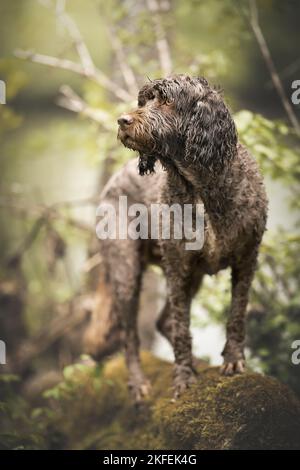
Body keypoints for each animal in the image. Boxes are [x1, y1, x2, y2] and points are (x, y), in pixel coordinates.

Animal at [91, 75, 268, 402]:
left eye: (166, 100)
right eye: (144, 100)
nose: (122, 120)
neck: (200, 185)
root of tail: (112, 181)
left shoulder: (247, 259)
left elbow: (237, 313)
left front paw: (233, 360)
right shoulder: (178, 268)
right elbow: (182, 327)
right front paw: (184, 378)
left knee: (161, 322)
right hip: (126, 272)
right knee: (130, 335)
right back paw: (139, 383)